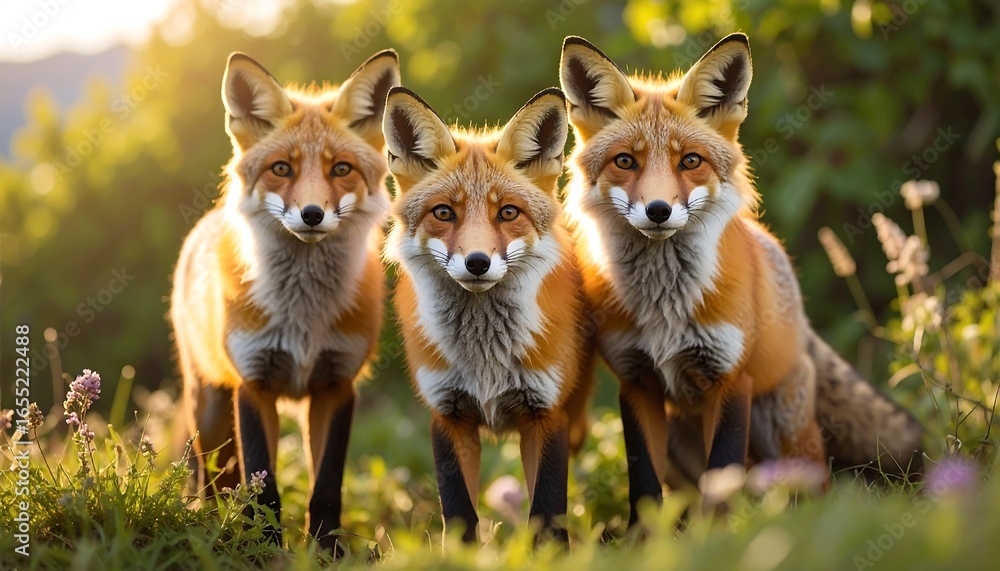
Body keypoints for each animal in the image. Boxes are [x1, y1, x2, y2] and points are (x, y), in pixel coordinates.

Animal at [170, 49, 399, 551]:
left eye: (340, 169)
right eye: (281, 168)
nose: (312, 214)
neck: (303, 317)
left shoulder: (337, 385)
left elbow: (325, 487)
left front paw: (327, 551)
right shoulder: (253, 383)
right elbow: (264, 488)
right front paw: (265, 548)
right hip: (209, 406)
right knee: (210, 478)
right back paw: (210, 525)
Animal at [381, 86, 593, 543]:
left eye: (508, 212)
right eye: (444, 212)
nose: (477, 262)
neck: (485, 360)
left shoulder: (546, 414)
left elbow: (547, 512)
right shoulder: (448, 415)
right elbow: (459, 513)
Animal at [558, 33, 924, 522]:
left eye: (690, 161)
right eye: (625, 161)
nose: (658, 210)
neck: (664, 308)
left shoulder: (730, 378)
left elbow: (723, 474)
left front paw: (720, 532)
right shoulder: (637, 382)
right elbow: (644, 486)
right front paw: (645, 537)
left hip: (784, 433)